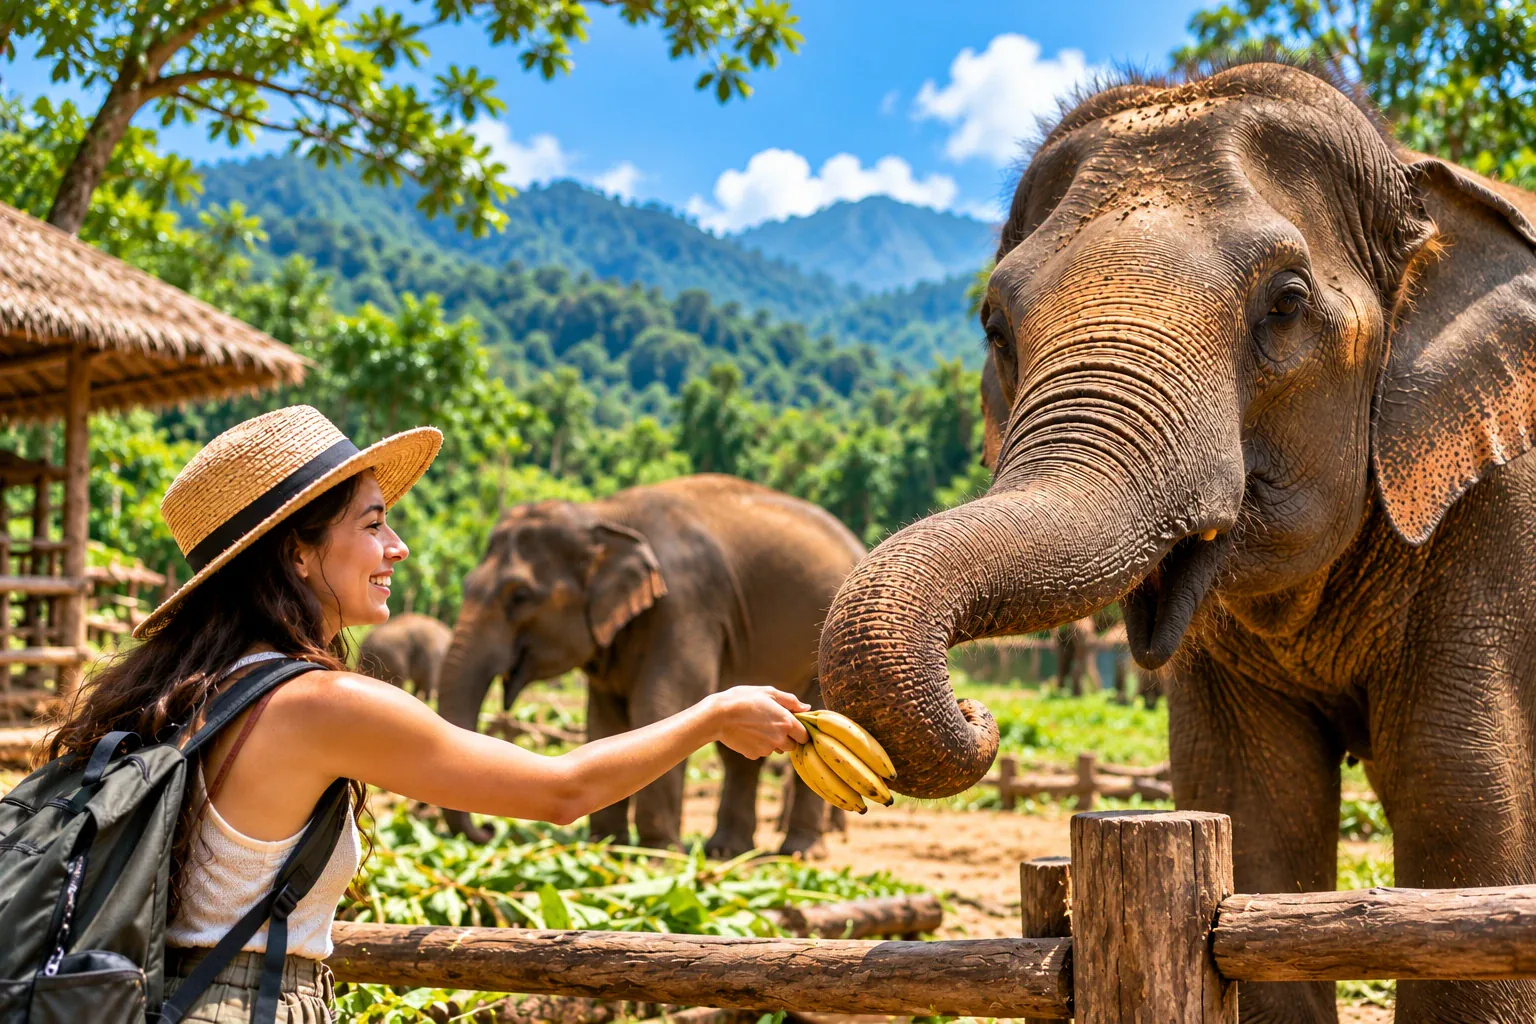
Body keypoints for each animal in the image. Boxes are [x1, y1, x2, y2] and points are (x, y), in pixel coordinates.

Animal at [438, 473, 865, 857]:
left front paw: (657, 854)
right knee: (740, 756)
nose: (488, 831)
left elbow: (663, 703)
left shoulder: (687, 601)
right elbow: (604, 721)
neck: (605, 515)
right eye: (466, 585)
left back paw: (800, 853)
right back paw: (726, 851)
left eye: (520, 596)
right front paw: (607, 849)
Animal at [816, 60, 1536, 1022]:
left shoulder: (1497, 522)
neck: (1419, 185)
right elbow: (1251, 810)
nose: (978, 711)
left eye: (1287, 304)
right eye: (995, 328)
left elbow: (1464, 802)